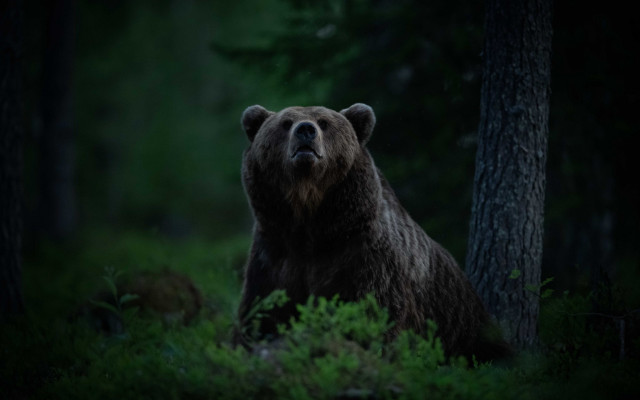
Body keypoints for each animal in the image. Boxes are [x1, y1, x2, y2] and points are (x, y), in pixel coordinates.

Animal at [235, 103, 509, 361]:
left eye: (324, 122)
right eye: (286, 122)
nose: (305, 130)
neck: (311, 221)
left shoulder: (364, 256)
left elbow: (373, 313)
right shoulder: (275, 254)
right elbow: (262, 312)